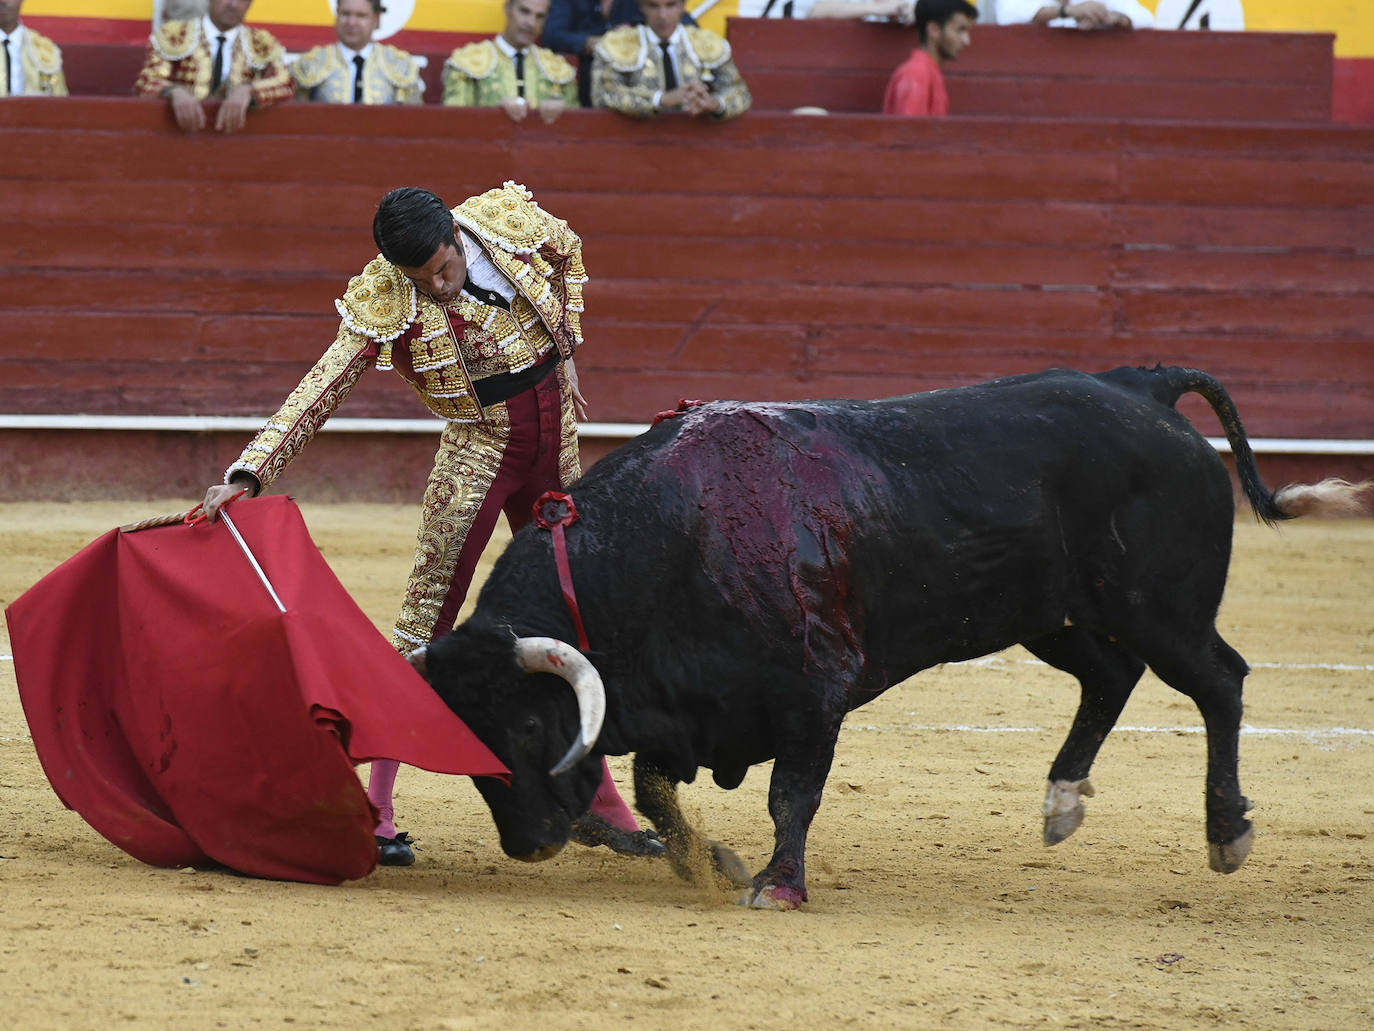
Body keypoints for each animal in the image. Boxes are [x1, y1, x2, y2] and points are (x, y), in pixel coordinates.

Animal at [406, 368, 1363, 912]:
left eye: (533, 726)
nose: (528, 842)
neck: (663, 543)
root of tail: (1143, 393)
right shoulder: (680, 708)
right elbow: (653, 788)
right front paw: (711, 862)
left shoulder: (812, 692)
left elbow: (791, 793)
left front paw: (776, 885)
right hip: (1048, 616)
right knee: (1111, 676)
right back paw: (1061, 800)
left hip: (1160, 608)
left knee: (1220, 681)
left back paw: (1225, 832)